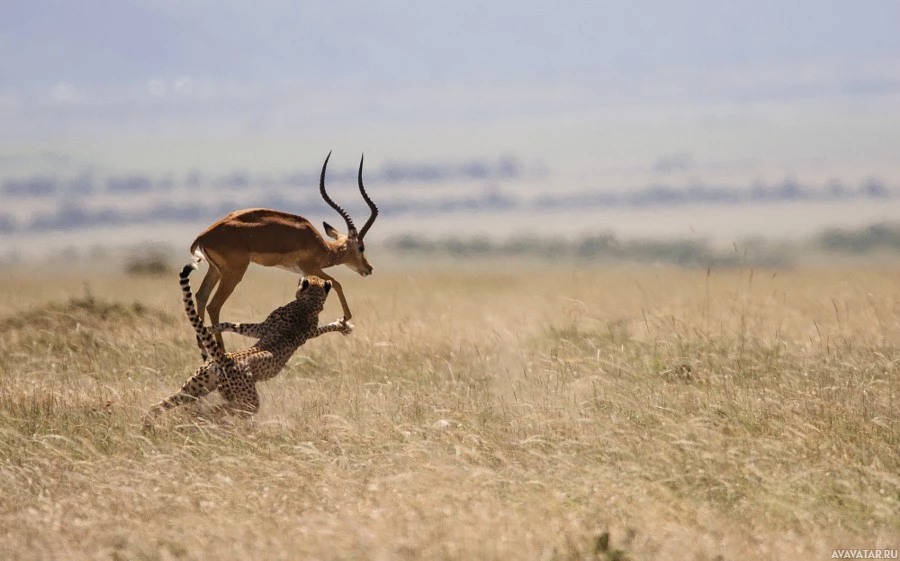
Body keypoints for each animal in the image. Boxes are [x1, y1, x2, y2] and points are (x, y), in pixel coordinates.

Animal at [145, 262, 352, 420]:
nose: (303, 275)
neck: (308, 302)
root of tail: (226, 359)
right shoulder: (275, 329)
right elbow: (235, 324)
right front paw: (342, 325)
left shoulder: (264, 329)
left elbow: (235, 325)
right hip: (240, 399)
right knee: (220, 410)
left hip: (198, 389)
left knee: (160, 406)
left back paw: (153, 426)